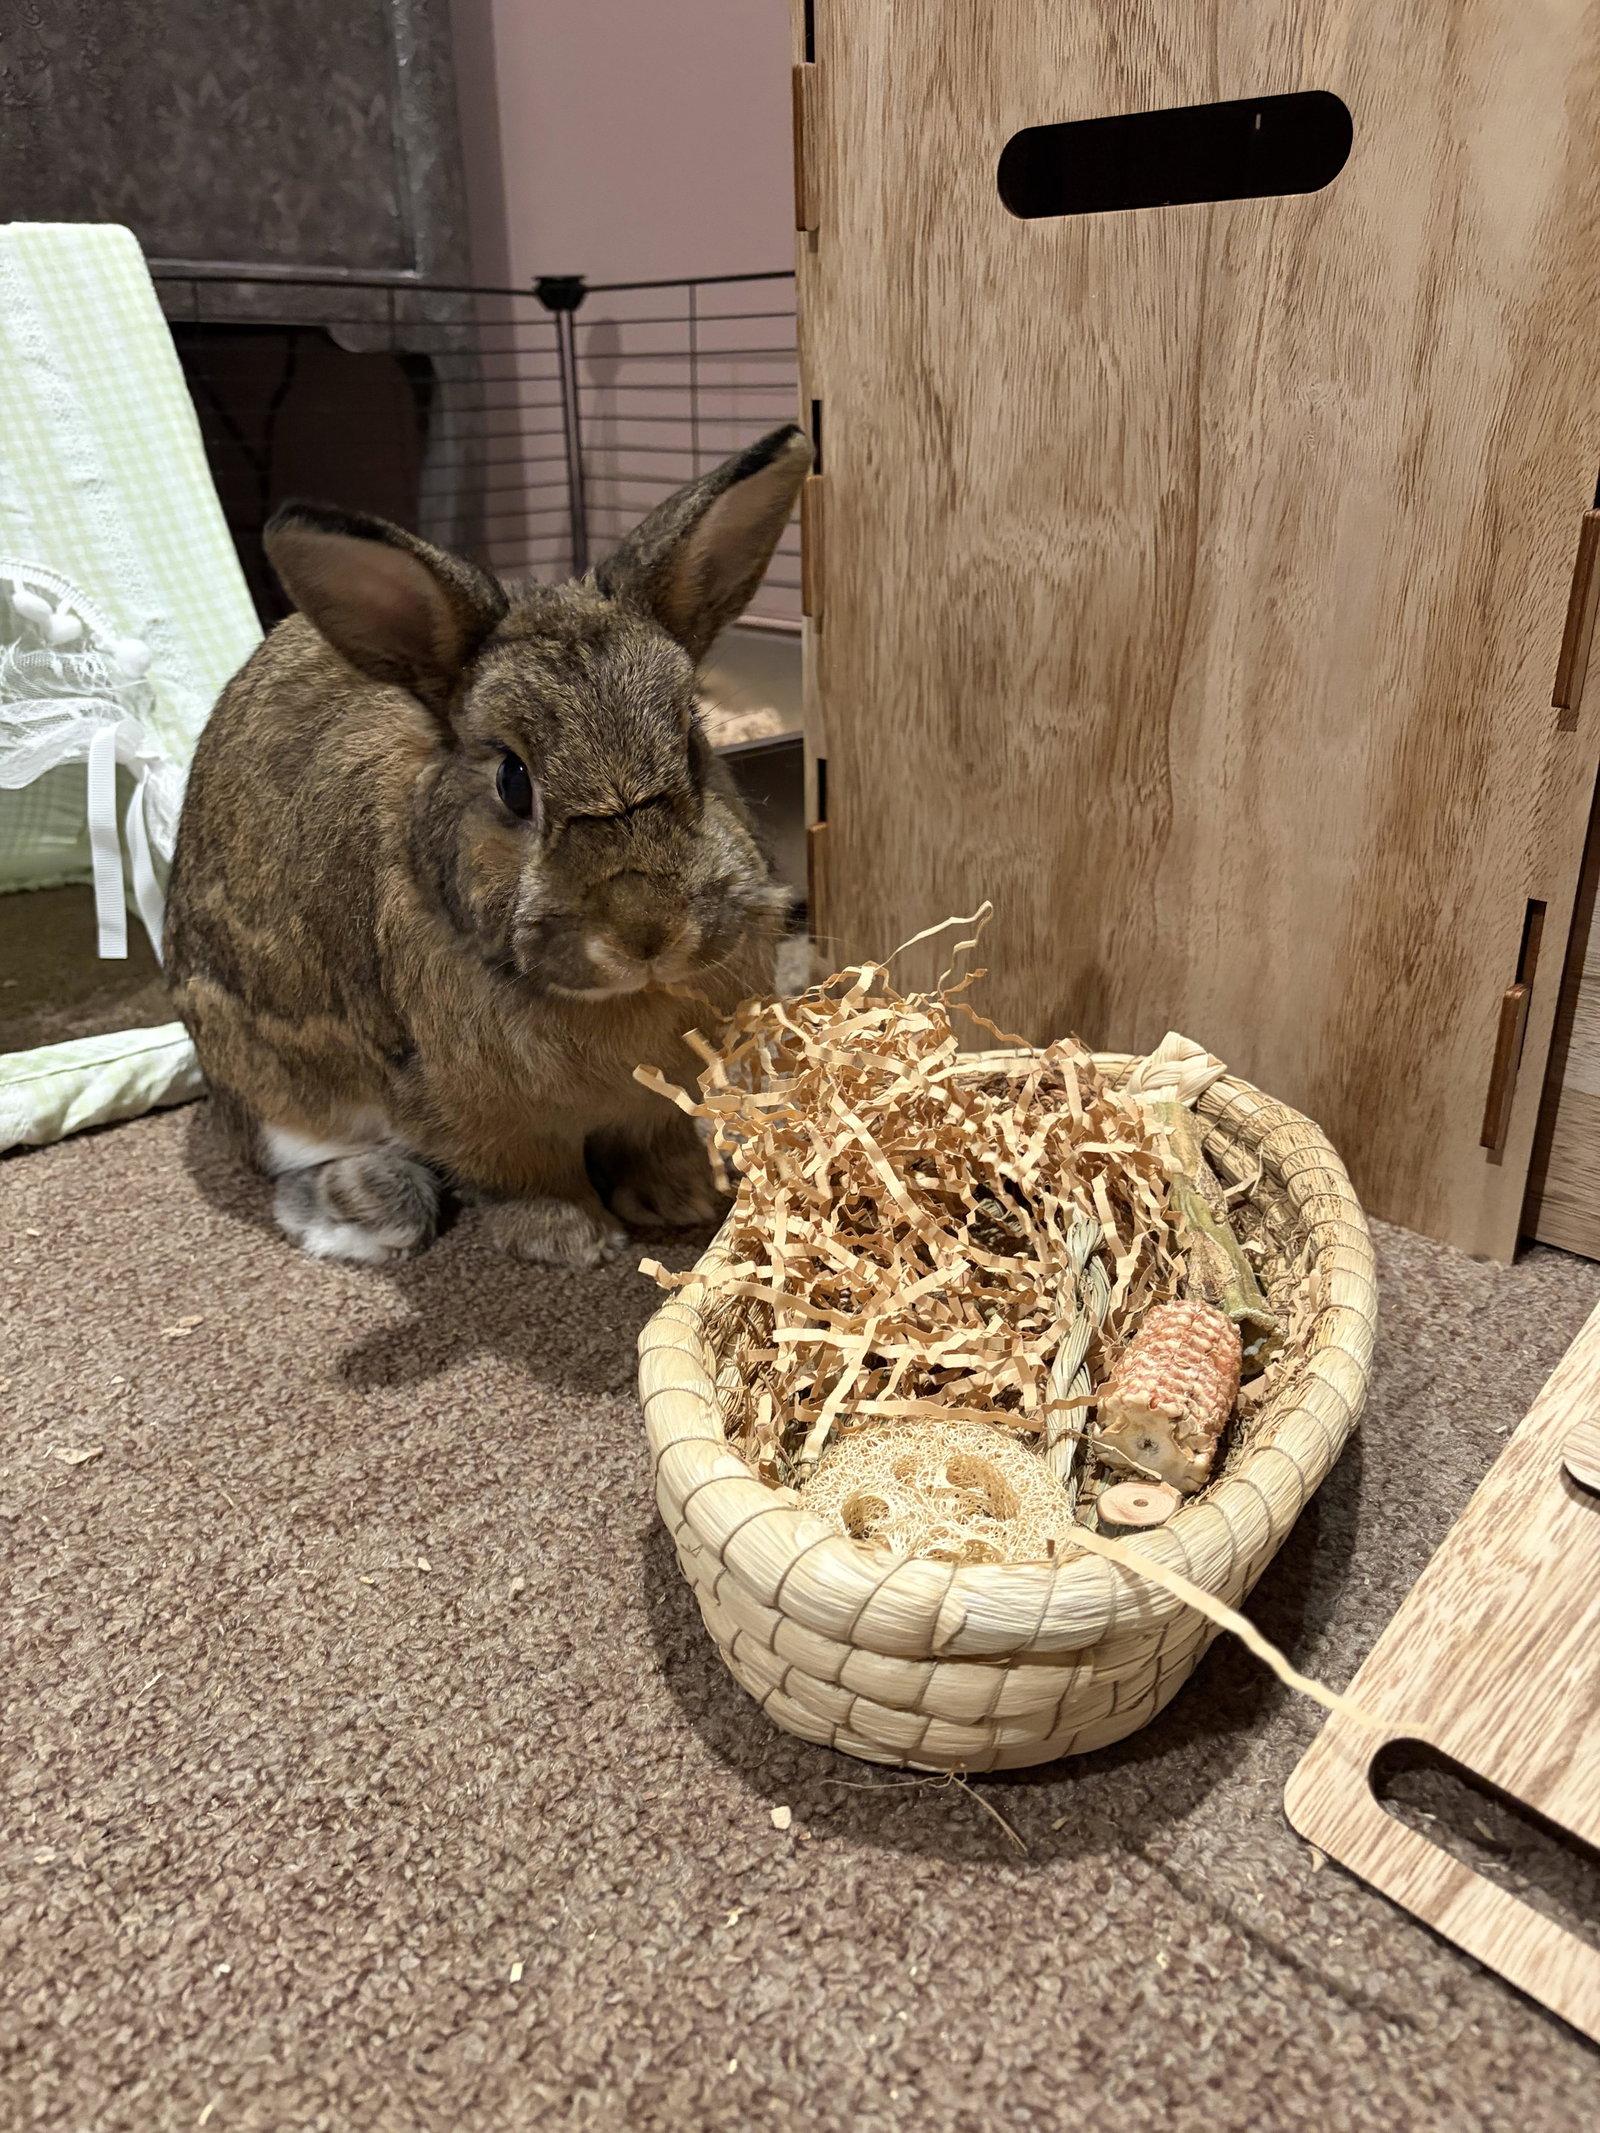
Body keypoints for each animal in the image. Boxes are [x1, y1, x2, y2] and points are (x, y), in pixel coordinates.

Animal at [163, 424, 811, 1267]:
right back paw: (367, 1201)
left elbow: (654, 1139)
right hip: (267, 1074)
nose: (646, 930)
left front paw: (682, 1198)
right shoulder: (478, 1112)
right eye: (513, 780)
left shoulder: (660, 1096)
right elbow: (527, 1175)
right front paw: (570, 1240)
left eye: (694, 746)